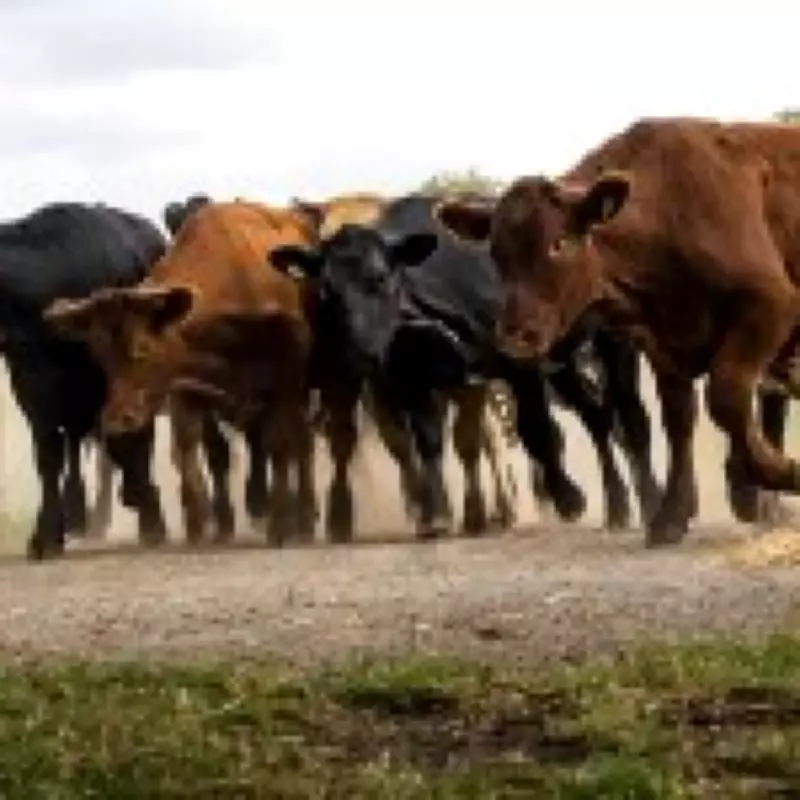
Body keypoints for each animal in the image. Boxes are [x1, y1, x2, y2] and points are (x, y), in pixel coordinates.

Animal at [45, 199, 318, 547]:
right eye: (99, 354)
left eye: (143, 347)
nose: (118, 420)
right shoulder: (187, 385)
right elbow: (190, 448)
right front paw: (199, 525)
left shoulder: (287, 377)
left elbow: (280, 444)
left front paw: (281, 525)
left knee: (303, 442)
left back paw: (305, 518)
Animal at [269, 193, 661, 538]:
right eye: (326, 289)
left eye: (379, 277)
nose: (360, 352)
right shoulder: (416, 380)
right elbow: (429, 441)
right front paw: (438, 515)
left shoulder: (517, 368)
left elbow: (536, 430)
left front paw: (568, 498)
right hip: (563, 367)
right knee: (596, 417)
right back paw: (618, 504)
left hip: (611, 344)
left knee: (624, 417)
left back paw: (646, 498)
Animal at [434, 116, 800, 547]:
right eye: (496, 253)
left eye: (559, 243)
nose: (515, 335)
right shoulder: (663, 344)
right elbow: (679, 421)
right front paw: (671, 516)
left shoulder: (772, 304)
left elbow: (725, 397)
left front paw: (781, 473)